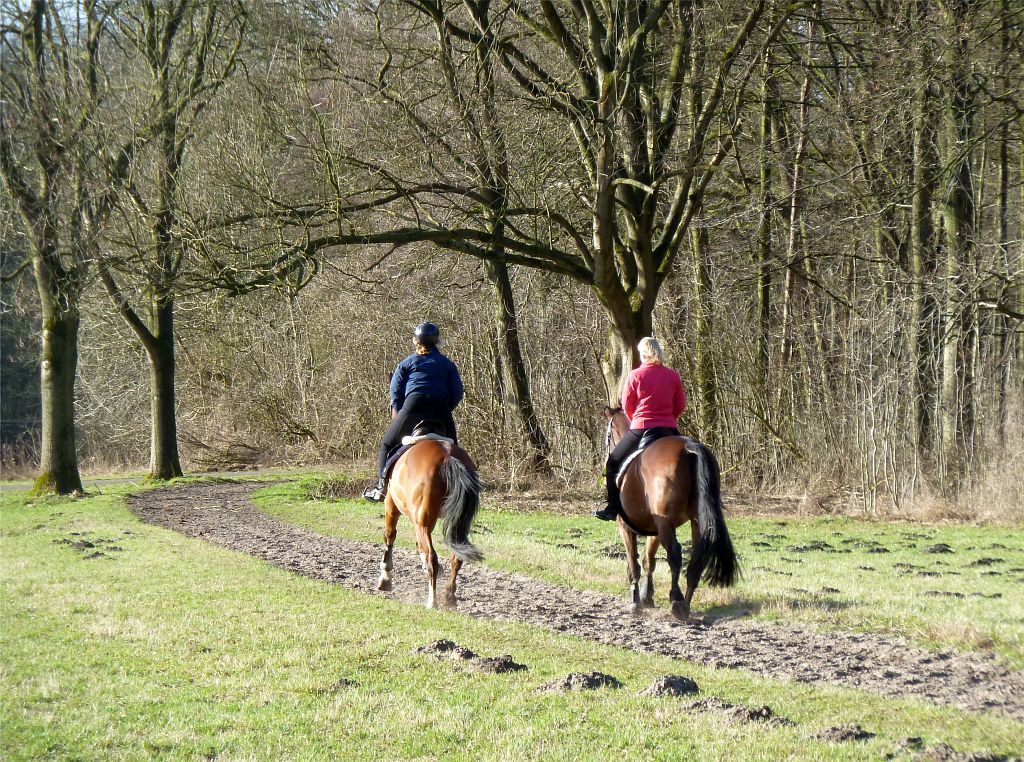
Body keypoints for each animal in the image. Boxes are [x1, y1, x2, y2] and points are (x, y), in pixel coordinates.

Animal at [376, 434, 483, 606]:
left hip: (420, 521)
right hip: (457, 524)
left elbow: (390, 535)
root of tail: (448, 457)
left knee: (431, 556)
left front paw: (385, 579)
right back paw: (449, 596)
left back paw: (432, 602)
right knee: (455, 558)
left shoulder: (391, 505)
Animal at [598, 405, 737, 618]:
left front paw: (636, 601)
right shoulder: (654, 529)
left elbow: (634, 565)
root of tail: (689, 448)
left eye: (608, 434)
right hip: (694, 520)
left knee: (674, 553)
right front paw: (647, 597)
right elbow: (648, 561)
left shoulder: (625, 527)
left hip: (665, 522)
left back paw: (676, 601)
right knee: (696, 557)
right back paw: (686, 603)